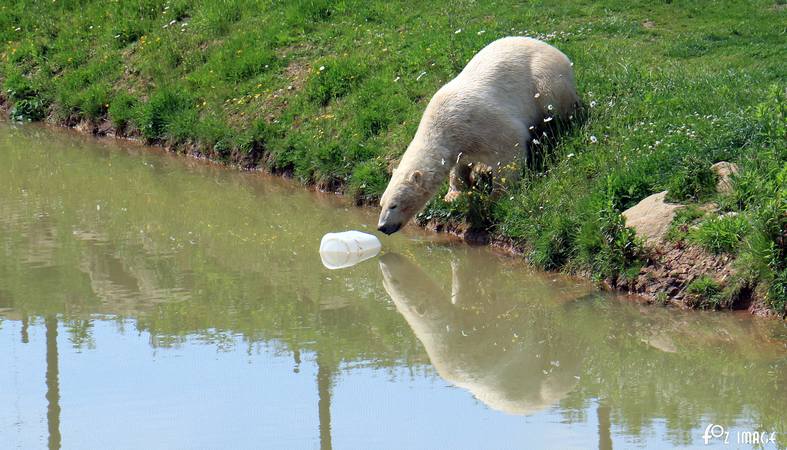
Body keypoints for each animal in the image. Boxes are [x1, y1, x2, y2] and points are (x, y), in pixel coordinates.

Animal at [378, 35, 580, 236]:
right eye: (381, 203)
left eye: (394, 205)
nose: (382, 227)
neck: (441, 124)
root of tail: (553, 48)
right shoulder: (461, 143)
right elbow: (459, 165)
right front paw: (453, 193)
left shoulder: (480, 122)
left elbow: (509, 147)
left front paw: (495, 197)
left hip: (545, 78)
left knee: (553, 102)